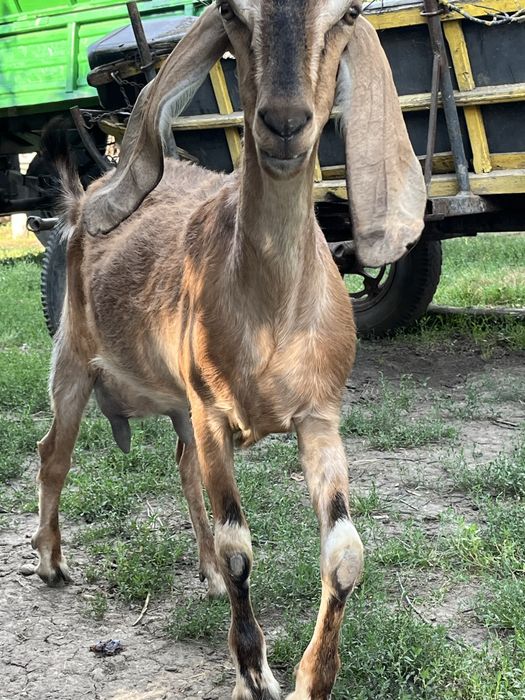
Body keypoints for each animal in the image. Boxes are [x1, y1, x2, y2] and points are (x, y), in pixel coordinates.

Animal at [32, 2, 426, 698]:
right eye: (229, 13)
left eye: (349, 14)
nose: (286, 123)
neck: (269, 314)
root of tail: (81, 201)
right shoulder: (213, 412)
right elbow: (240, 546)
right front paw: (254, 673)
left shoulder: (318, 414)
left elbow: (345, 553)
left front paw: (312, 679)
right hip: (74, 360)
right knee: (54, 453)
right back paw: (51, 561)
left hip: (177, 402)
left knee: (183, 468)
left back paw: (206, 575)